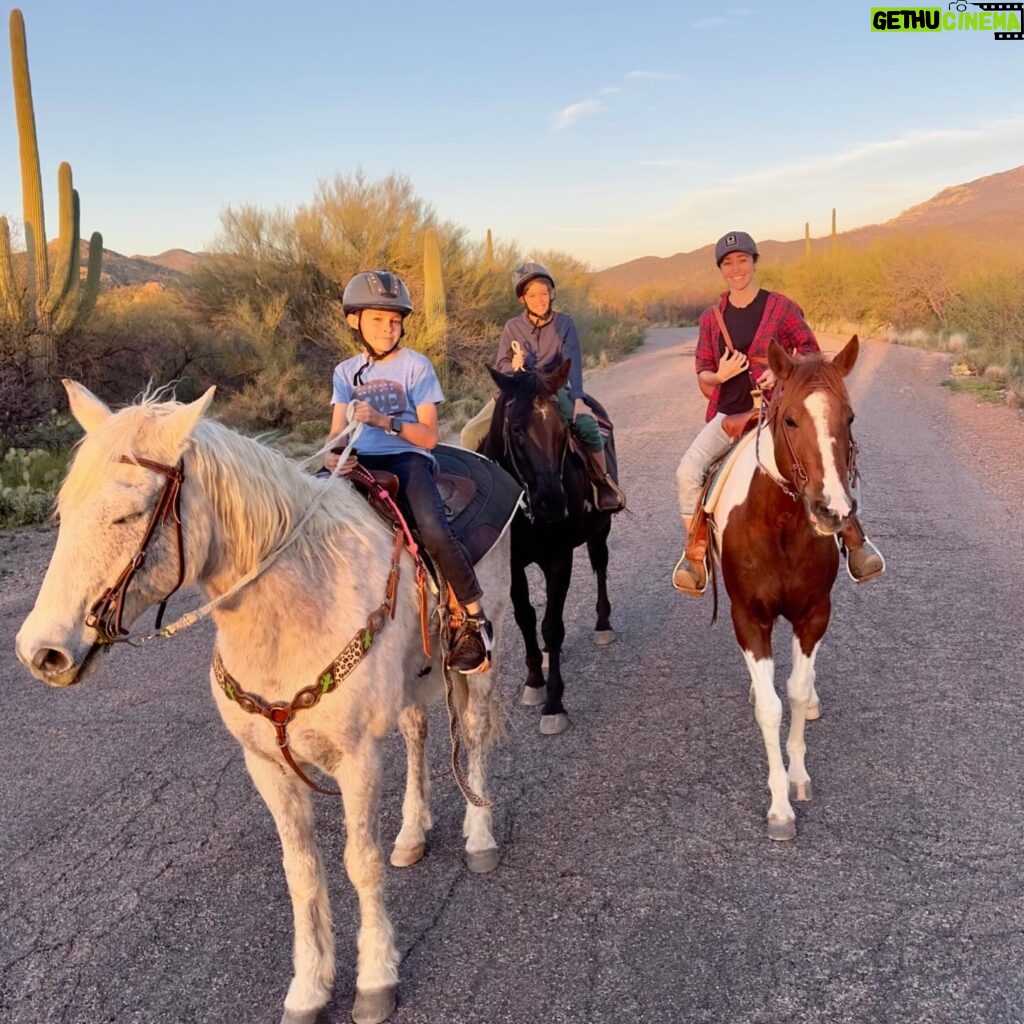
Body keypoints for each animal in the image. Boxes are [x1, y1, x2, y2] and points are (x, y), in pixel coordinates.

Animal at [16, 382, 512, 1024]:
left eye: (128, 512)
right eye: (64, 510)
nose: (41, 651)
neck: (295, 605)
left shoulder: (356, 759)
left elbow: (360, 862)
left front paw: (376, 978)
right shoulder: (267, 766)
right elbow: (301, 873)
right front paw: (309, 988)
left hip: (480, 654)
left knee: (471, 731)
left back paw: (480, 835)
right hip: (410, 679)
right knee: (417, 732)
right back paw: (412, 832)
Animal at [479, 360, 614, 737]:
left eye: (562, 428)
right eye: (516, 429)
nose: (552, 502)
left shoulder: (558, 558)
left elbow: (552, 626)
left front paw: (554, 703)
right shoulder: (512, 565)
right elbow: (526, 617)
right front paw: (534, 681)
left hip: (600, 530)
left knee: (600, 565)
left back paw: (603, 624)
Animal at [712, 335, 864, 839]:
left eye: (849, 417)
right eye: (791, 419)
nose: (833, 509)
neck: (777, 524)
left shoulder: (813, 614)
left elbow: (795, 693)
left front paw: (797, 779)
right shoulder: (748, 618)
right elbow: (771, 708)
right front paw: (779, 806)